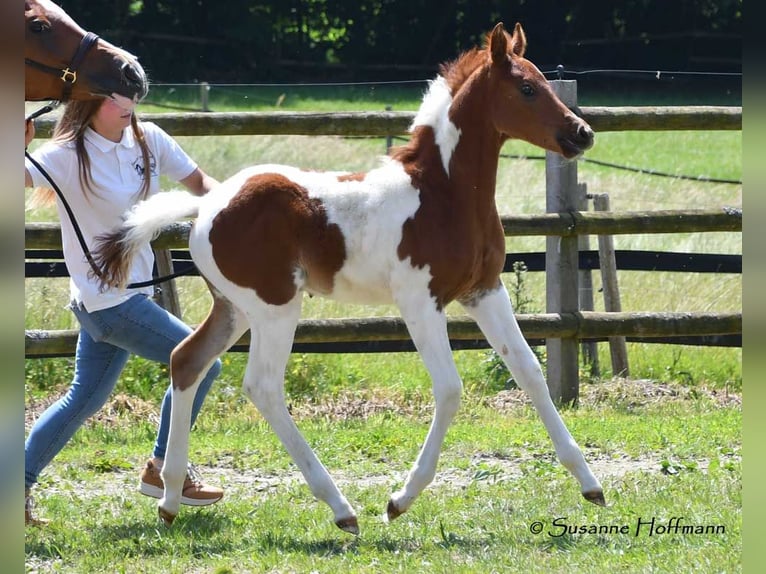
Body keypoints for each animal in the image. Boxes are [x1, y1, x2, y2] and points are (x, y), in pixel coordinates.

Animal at [94, 21, 605, 535]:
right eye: (526, 88)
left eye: (544, 81)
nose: (582, 134)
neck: (442, 193)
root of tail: (206, 206)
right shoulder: (421, 302)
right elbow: (449, 388)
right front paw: (400, 500)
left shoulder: (484, 291)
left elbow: (529, 371)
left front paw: (590, 484)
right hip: (274, 307)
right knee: (262, 385)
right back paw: (340, 508)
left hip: (235, 307)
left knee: (186, 361)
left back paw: (170, 500)